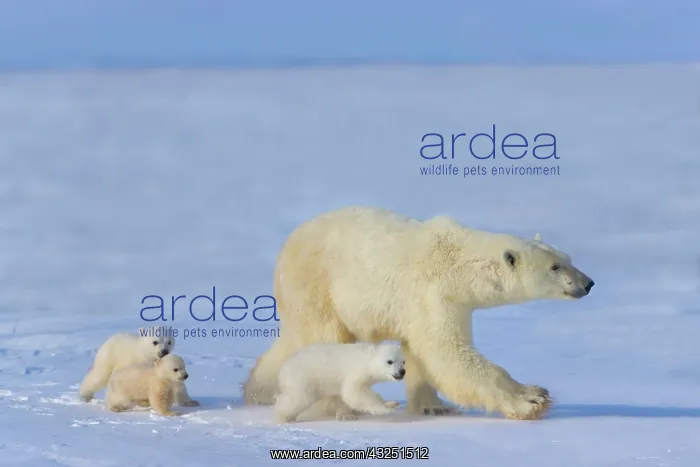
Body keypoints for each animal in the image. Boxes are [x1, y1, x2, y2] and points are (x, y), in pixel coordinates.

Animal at [273, 342, 405, 423]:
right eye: (390, 361)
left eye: (403, 361)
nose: (402, 371)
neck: (367, 359)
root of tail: (283, 369)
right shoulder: (355, 372)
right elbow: (353, 392)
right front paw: (384, 408)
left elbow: (345, 396)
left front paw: (392, 403)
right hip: (302, 378)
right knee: (298, 398)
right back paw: (283, 417)